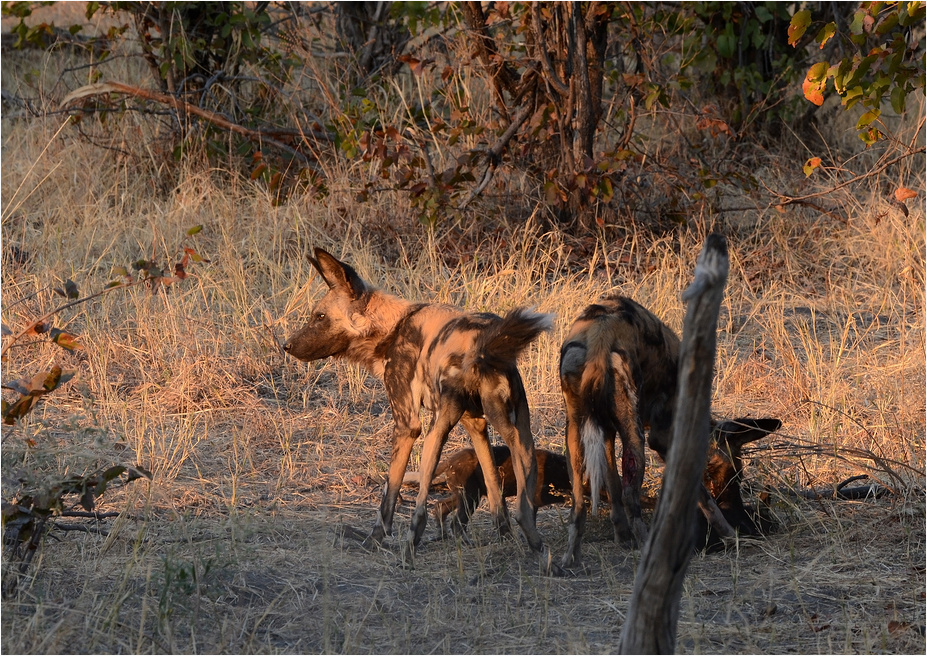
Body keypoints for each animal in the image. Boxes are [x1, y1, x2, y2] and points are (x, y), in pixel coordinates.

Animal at [282, 249, 556, 568]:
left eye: (320, 317)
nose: (287, 345)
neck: (390, 327)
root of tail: (483, 342)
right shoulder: (476, 425)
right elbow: (494, 488)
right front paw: (504, 537)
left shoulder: (407, 426)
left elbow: (389, 492)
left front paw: (374, 540)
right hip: (520, 433)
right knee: (523, 505)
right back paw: (537, 549)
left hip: (435, 433)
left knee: (422, 507)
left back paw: (409, 549)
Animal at [560, 296, 784, 568]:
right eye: (735, 476)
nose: (738, 511)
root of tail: (600, 334)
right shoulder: (665, 439)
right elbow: (703, 499)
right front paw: (731, 536)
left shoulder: (608, 433)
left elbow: (612, 487)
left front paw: (622, 537)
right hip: (635, 435)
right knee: (630, 496)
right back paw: (648, 547)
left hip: (575, 430)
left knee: (579, 504)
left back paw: (569, 559)